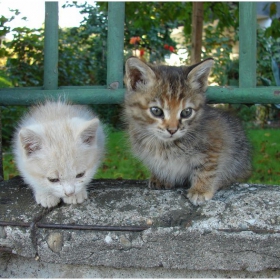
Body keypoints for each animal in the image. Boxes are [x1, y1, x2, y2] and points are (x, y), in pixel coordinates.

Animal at [124, 57, 252, 206]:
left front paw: (201, 190)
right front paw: (161, 178)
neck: (162, 144)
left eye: (186, 112)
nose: (172, 130)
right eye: (156, 111)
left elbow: (207, 168)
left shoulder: (216, 141)